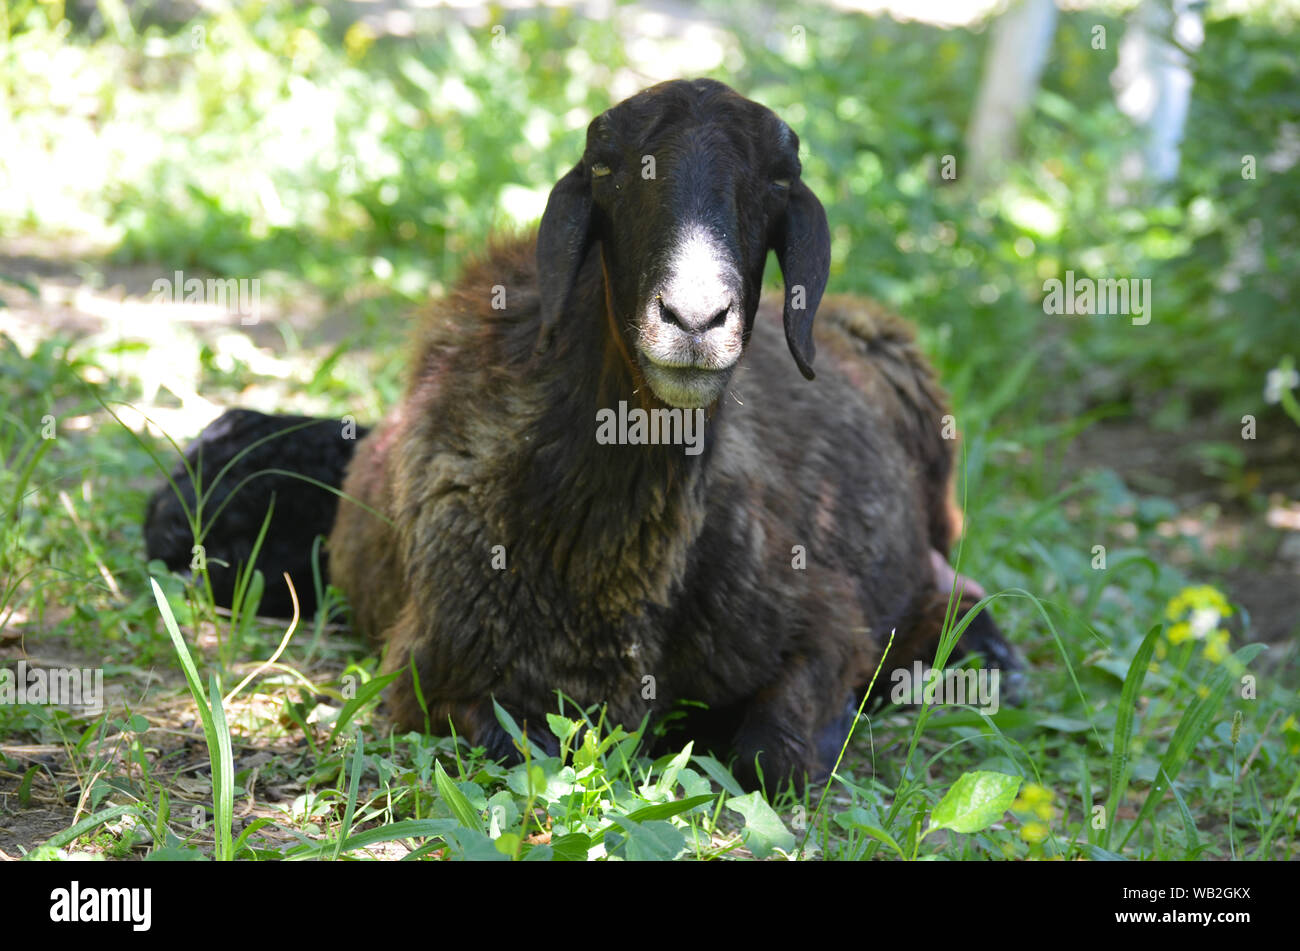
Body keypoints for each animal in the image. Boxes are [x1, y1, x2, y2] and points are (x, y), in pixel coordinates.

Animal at [321, 78, 1023, 789]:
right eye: (604, 169)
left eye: (778, 181)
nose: (694, 319)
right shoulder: (434, 680)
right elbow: (521, 748)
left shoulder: (824, 618)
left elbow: (771, 755)